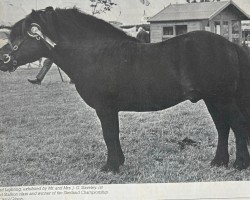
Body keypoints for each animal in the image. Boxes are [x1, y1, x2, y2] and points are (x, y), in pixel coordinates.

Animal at [0, 7, 250, 173]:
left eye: (19, 35)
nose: (3, 59)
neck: (94, 54)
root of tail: (230, 44)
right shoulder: (110, 109)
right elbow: (114, 134)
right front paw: (118, 162)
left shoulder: (105, 108)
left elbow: (109, 134)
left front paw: (110, 167)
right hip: (212, 100)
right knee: (223, 127)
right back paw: (218, 162)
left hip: (222, 98)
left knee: (237, 125)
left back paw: (239, 164)